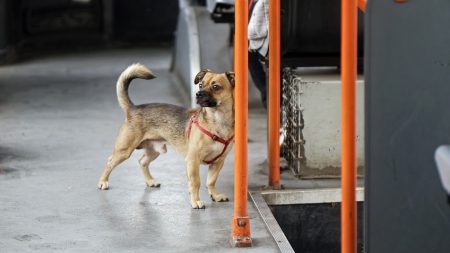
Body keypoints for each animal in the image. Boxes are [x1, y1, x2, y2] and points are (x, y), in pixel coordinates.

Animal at [96, 63, 234, 210]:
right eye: (201, 85)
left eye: (215, 87)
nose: (198, 94)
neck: (217, 121)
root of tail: (133, 108)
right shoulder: (192, 161)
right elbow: (196, 182)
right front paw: (195, 201)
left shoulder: (218, 162)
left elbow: (211, 181)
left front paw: (215, 195)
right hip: (124, 151)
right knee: (110, 161)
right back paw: (103, 182)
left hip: (154, 150)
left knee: (142, 161)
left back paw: (150, 181)